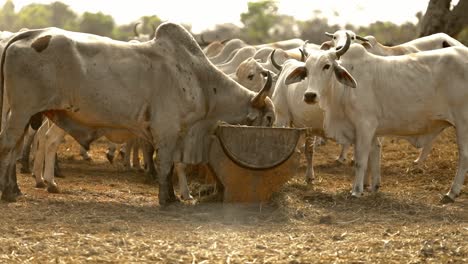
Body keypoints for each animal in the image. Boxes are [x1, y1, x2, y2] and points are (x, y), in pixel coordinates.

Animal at [0, 22, 274, 205]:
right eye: (269, 118)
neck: (202, 82)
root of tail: (28, 35)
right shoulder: (167, 130)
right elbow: (166, 164)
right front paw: (167, 199)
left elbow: (172, 166)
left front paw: (175, 195)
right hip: (22, 112)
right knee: (9, 145)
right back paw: (11, 191)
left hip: (25, 114)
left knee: (17, 148)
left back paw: (16, 189)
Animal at [286, 33, 468, 202]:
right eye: (307, 68)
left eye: (327, 66)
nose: (310, 95)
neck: (343, 90)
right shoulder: (371, 130)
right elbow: (373, 156)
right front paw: (373, 186)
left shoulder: (364, 125)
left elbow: (360, 160)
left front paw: (356, 190)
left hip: (462, 123)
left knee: (464, 156)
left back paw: (451, 193)